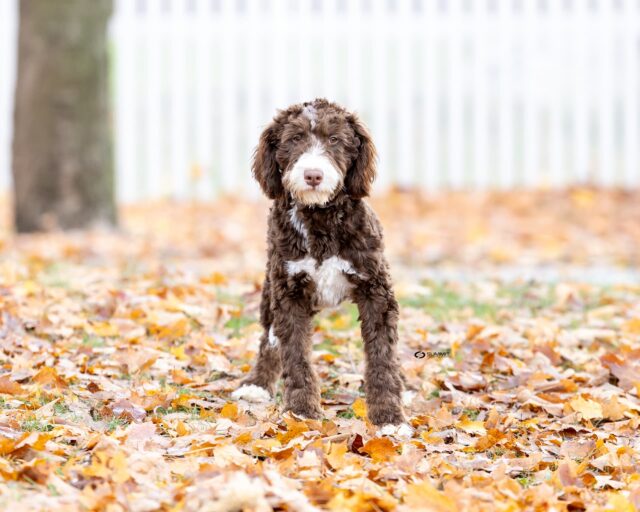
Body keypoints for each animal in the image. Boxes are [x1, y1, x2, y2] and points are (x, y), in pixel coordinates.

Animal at [232, 98, 408, 430]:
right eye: (294, 139)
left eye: (335, 139)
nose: (313, 175)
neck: (320, 219)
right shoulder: (288, 292)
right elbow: (295, 353)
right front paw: (302, 411)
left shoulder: (377, 292)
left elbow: (382, 356)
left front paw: (389, 416)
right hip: (269, 286)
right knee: (268, 337)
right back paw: (257, 384)